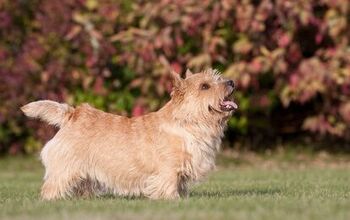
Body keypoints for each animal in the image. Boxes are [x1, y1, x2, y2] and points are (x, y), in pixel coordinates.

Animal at [21, 68, 238, 199]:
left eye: (218, 78)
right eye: (205, 86)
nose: (231, 82)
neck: (188, 123)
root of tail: (73, 114)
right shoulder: (168, 170)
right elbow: (168, 187)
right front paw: (172, 200)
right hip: (65, 168)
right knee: (50, 188)